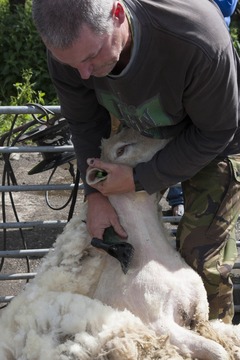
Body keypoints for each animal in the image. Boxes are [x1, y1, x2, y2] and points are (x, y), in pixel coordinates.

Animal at [0, 127, 239, 360]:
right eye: (121, 150)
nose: (172, 137)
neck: (151, 253)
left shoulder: (200, 311)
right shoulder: (160, 325)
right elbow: (218, 352)